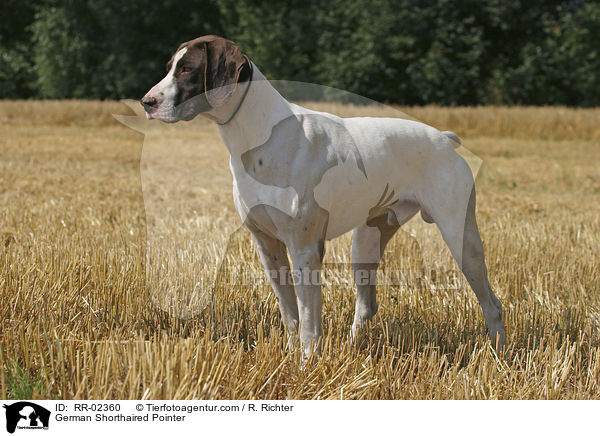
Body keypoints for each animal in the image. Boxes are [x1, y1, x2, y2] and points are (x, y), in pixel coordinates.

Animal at [143, 34, 504, 354]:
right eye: (169, 66)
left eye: (187, 69)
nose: (147, 102)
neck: (262, 137)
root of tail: (444, 138)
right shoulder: (268, 247)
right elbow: (289, 315)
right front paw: (290, 358)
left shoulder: (305, 248)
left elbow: (308, 321)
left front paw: (307, 363)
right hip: (366, 241)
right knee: (367, 306)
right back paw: (351, 348)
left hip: (461, 240)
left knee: (493, 304)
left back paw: (499, 355)